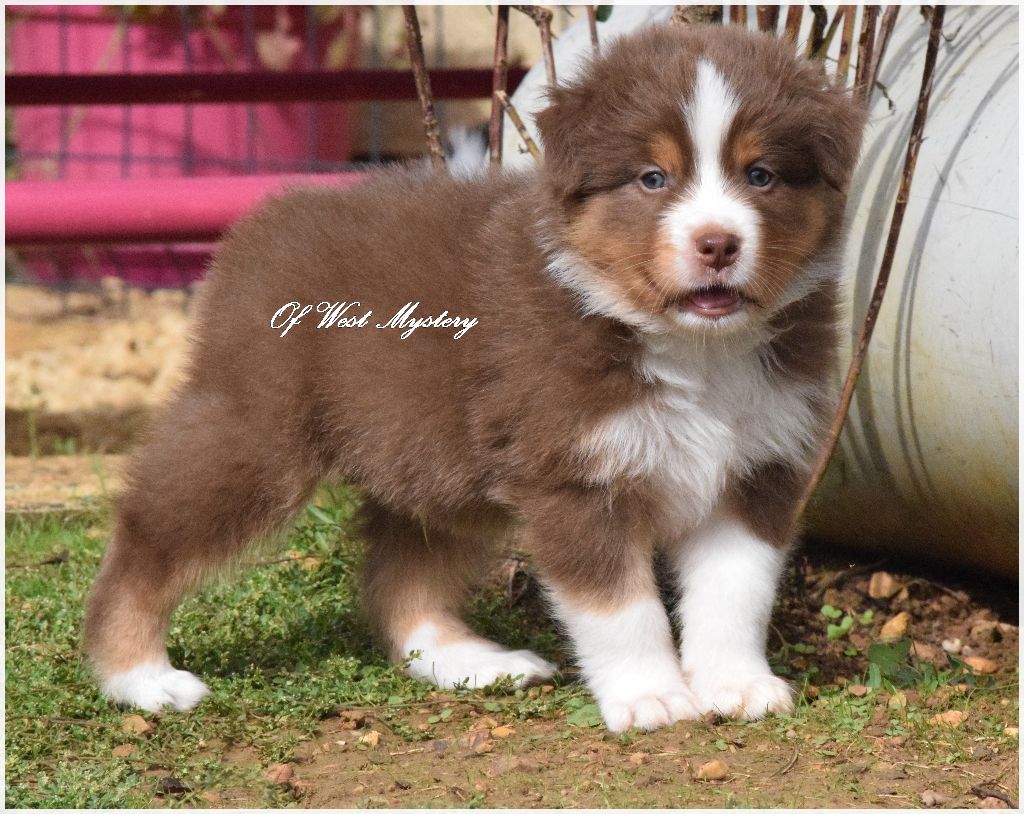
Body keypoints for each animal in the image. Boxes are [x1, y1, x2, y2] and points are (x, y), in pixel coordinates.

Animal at [84, 23, 865, 733]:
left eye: (760, 175)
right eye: (653, 178)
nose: (718, 243)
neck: (692, 349)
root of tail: (267, 217)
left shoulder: (758, 467)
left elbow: (737, 592)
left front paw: (736, 685)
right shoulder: (574, 475)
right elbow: (621, 605)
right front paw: (652, 697)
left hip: (438, 462)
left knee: (402, 580)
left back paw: (475, 661)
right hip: (259, 434)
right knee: (145, 534)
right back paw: (138, 674)